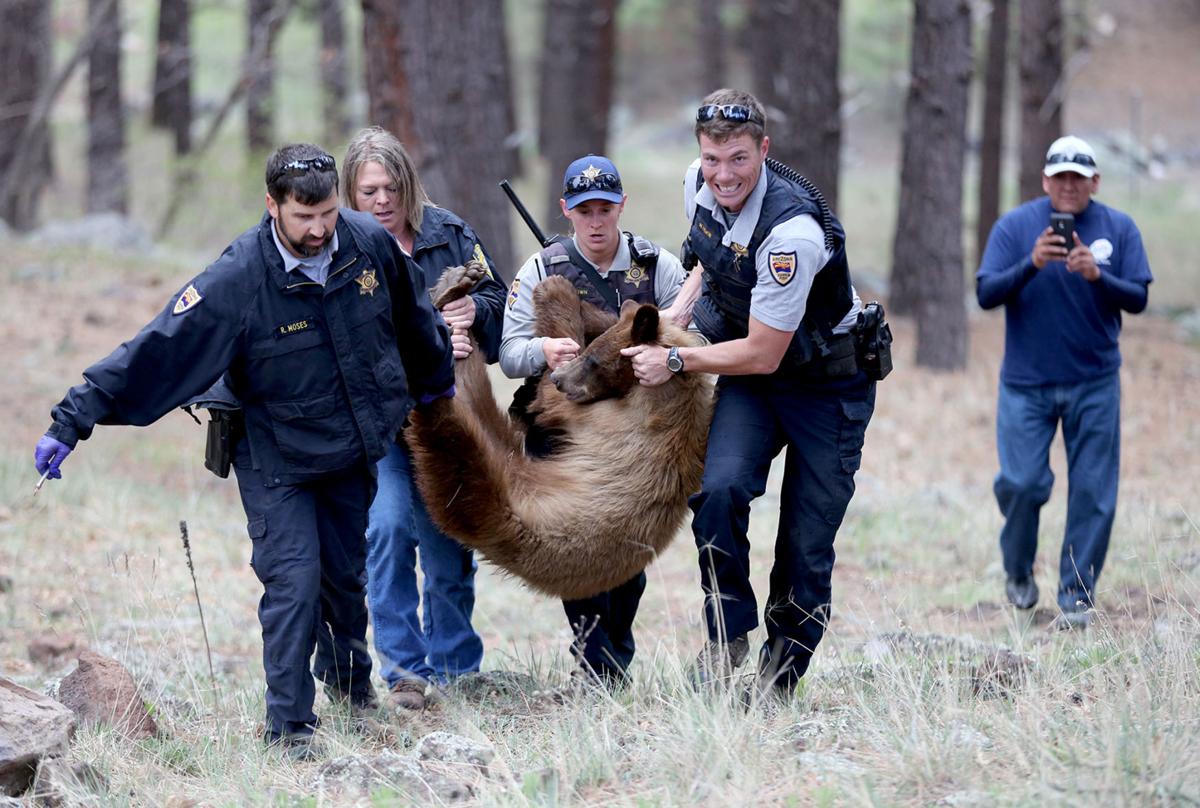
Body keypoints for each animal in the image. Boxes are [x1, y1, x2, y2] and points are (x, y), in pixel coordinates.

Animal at [405, 263, 714, 600]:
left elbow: (551, 403)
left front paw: (554, 288)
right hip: (506, 454)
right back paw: (455, 287)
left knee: (451, 431)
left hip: (485, 495)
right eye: (591, 352)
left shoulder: (620, 417)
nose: (559, 378)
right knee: (470, 385)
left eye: (593, 360)